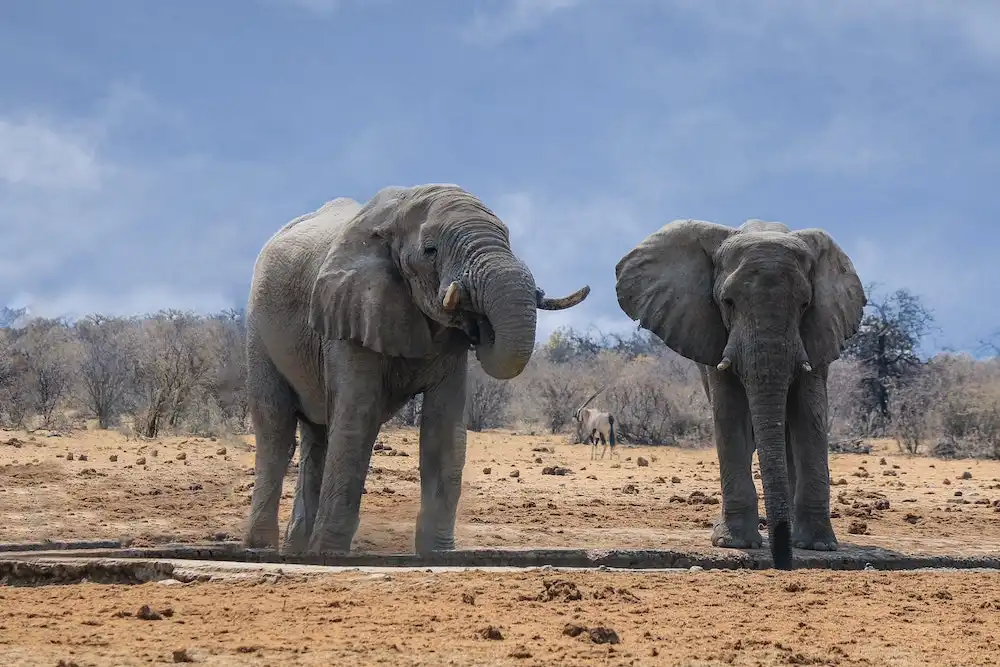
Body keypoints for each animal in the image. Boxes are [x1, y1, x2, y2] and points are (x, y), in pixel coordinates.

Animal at [239, 184, 588, 560]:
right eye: (430, 250)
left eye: (508, 238)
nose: (480, 324)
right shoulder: (348, 313)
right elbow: (357, 419)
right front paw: (330, 555)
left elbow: (444, 429)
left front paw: (439, 556)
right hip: (258, 331)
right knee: (276, 430)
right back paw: (264, 548)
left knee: (315, 439)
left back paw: (296, 550)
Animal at [612, 218, 864, 568]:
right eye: (727, 302)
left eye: (804, 305)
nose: (782, 563)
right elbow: (730, 412)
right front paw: (734, 544)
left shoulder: (818, 332)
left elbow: (809, 414)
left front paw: (819, 547)